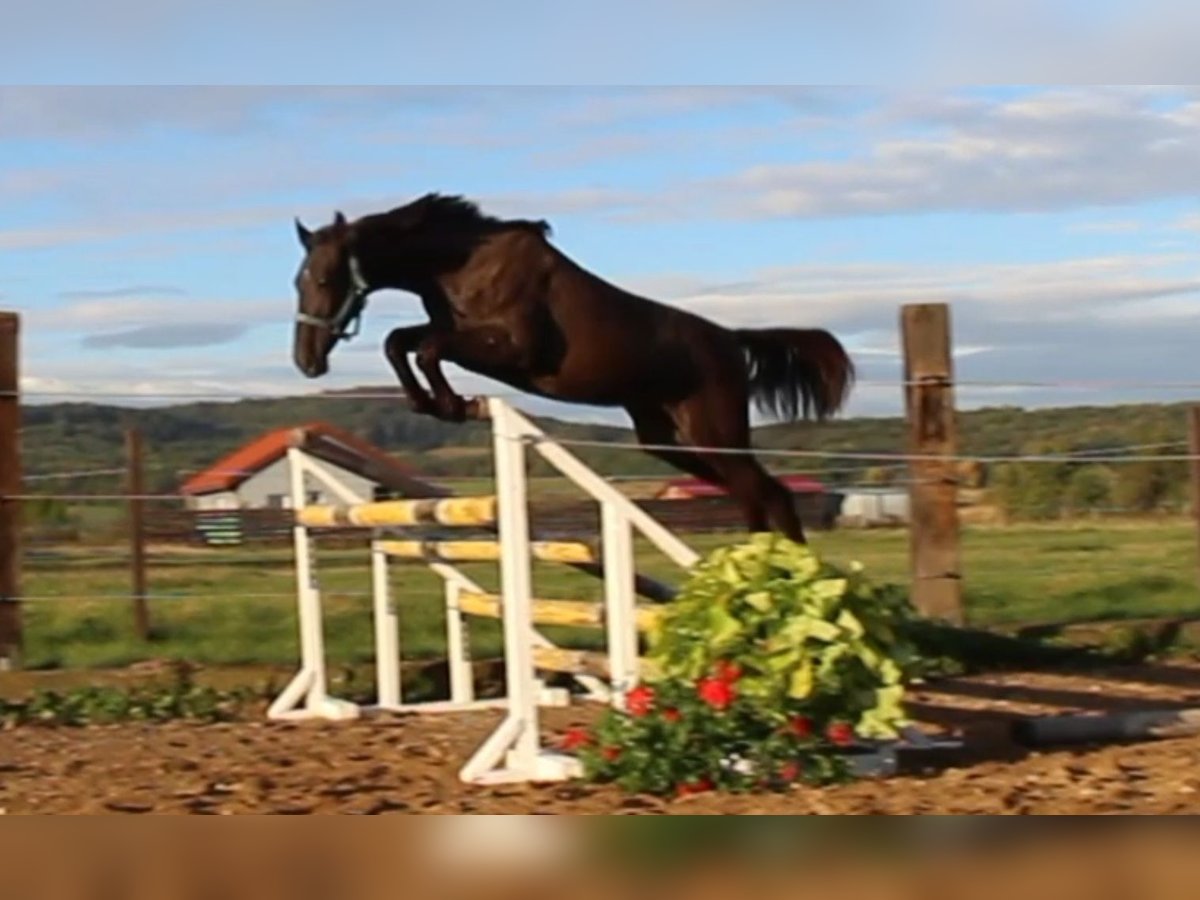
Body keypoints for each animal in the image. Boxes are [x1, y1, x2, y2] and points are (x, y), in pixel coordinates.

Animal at [290, 194, 854, 542]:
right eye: (299, 281)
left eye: (323, 278)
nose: (305, 361)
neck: (463, 266)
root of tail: (731, 342)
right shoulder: (456, 334)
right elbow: (401, 342)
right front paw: (430, 403)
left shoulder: (513, 351)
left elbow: (427, 348)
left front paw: (452, 405)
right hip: (667, 440)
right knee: (750, 493)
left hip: (714, 432)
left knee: (769, 492)